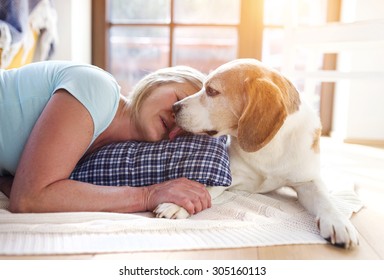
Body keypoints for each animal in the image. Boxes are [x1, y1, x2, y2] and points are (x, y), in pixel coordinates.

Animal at [154, 58, 358, 248]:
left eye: (211, 91)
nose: (174, 107)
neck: (269, 149)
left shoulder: (308, 181)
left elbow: (326, 201)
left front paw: (338, 222)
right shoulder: (230, 175)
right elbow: (204, 187)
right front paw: (178, 204)